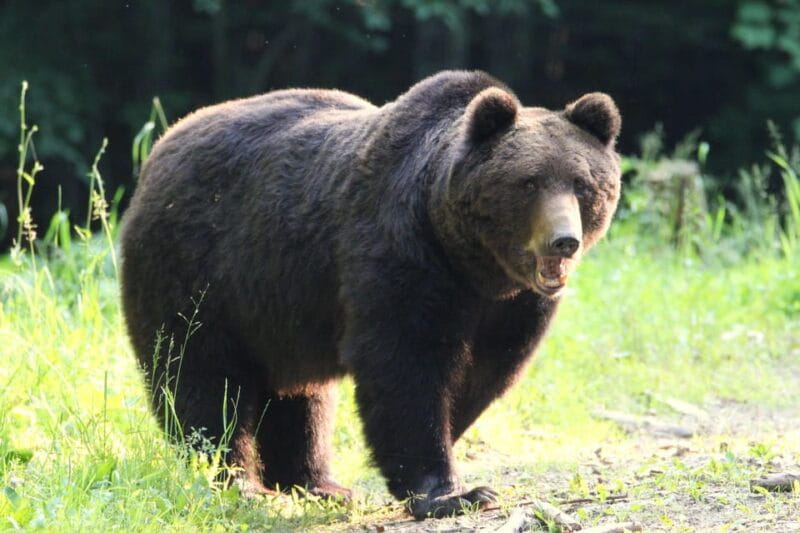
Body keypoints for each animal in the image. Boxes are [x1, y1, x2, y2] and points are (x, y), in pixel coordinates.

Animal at [119, 70, 621, 519]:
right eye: (529, 181)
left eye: (583, 184)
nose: (564, 241)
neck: (473, 263)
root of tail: (161, 148)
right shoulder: (400, 257)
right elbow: (404, 366)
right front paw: (452, 493)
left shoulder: (513, 307)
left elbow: (485, 374)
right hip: (198, 272)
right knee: (202, 379)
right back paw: (239, 483)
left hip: (280, 311)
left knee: (301, 398)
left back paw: (319, 485)